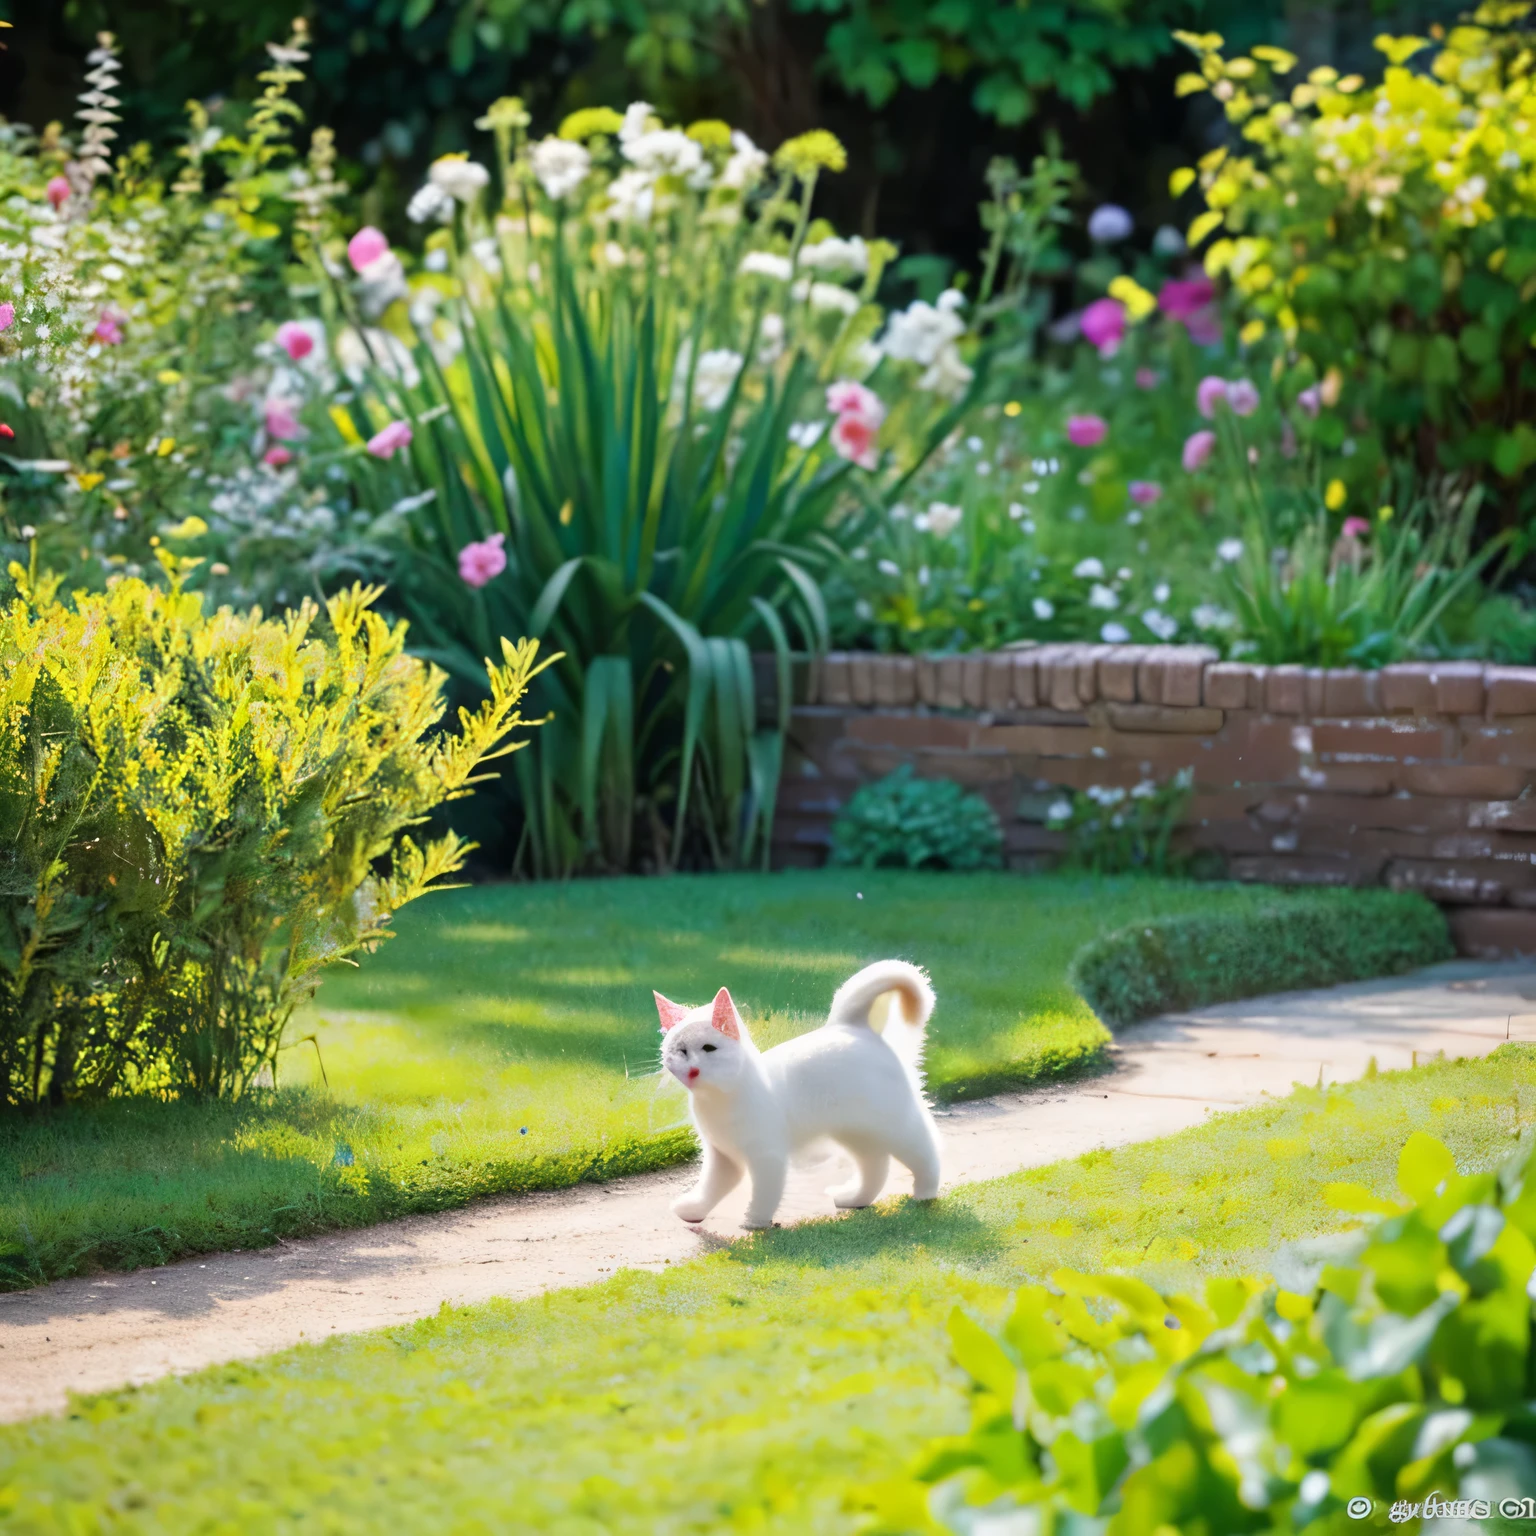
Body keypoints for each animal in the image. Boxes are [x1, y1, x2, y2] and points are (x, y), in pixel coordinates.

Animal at [648, 958, 933, 1234]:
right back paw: (855, 1198)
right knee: (876, 1165)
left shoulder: (768, 1158)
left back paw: (925, 1192)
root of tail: (850, 1026)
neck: (718, 1100)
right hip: (856, 1133)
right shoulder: (724, 1159)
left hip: (893, 1127)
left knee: (926, 1148)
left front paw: (754, 1221)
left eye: (709, 1048)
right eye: (680, 1051)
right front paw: (693, 1210)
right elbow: (710, 1188)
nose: (693, 1069)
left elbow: (764, 1194)